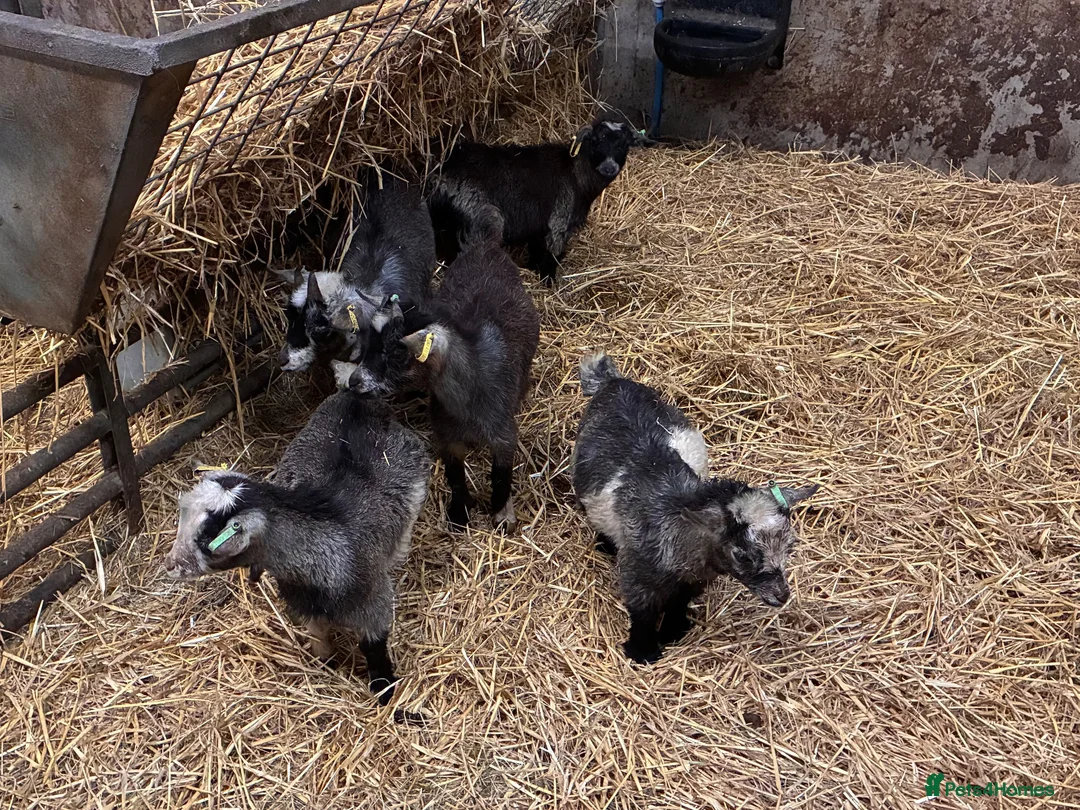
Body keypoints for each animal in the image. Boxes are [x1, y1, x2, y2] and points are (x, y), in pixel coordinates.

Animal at [164, 391, 430, 706]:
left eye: (207, 537)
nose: (170, 565)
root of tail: (355, 399)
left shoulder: (372, 602)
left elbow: (375, 649)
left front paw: (385, 690)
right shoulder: (304, 605)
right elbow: (320, 640)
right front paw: (326, 664)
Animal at [348, 222, 539, 531]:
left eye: (398, 353)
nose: (355, 381)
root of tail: (484, 243)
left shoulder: (503, 433)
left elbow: (501, 474)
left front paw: (502, 514)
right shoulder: (446, 435)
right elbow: (454, 475)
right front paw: (459, 514)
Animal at [428, 118, 644, 282]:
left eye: (625, 144)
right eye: (596, 141)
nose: (609, 168)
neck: (576, 174)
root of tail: (443, 175)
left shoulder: (538, 226)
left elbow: (536, 251)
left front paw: (532, 270)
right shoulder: (558, 223)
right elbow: (552, 258)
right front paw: (548, 284)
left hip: (445, 228)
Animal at [572, 352, 819, 664]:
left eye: (790, 546)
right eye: (742, 555)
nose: (781, 596)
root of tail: (613, 381)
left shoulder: (693, 580)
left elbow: (679, 603)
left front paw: (674, 631)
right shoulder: (637, 577)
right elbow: (643, 613)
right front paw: (643, 651)